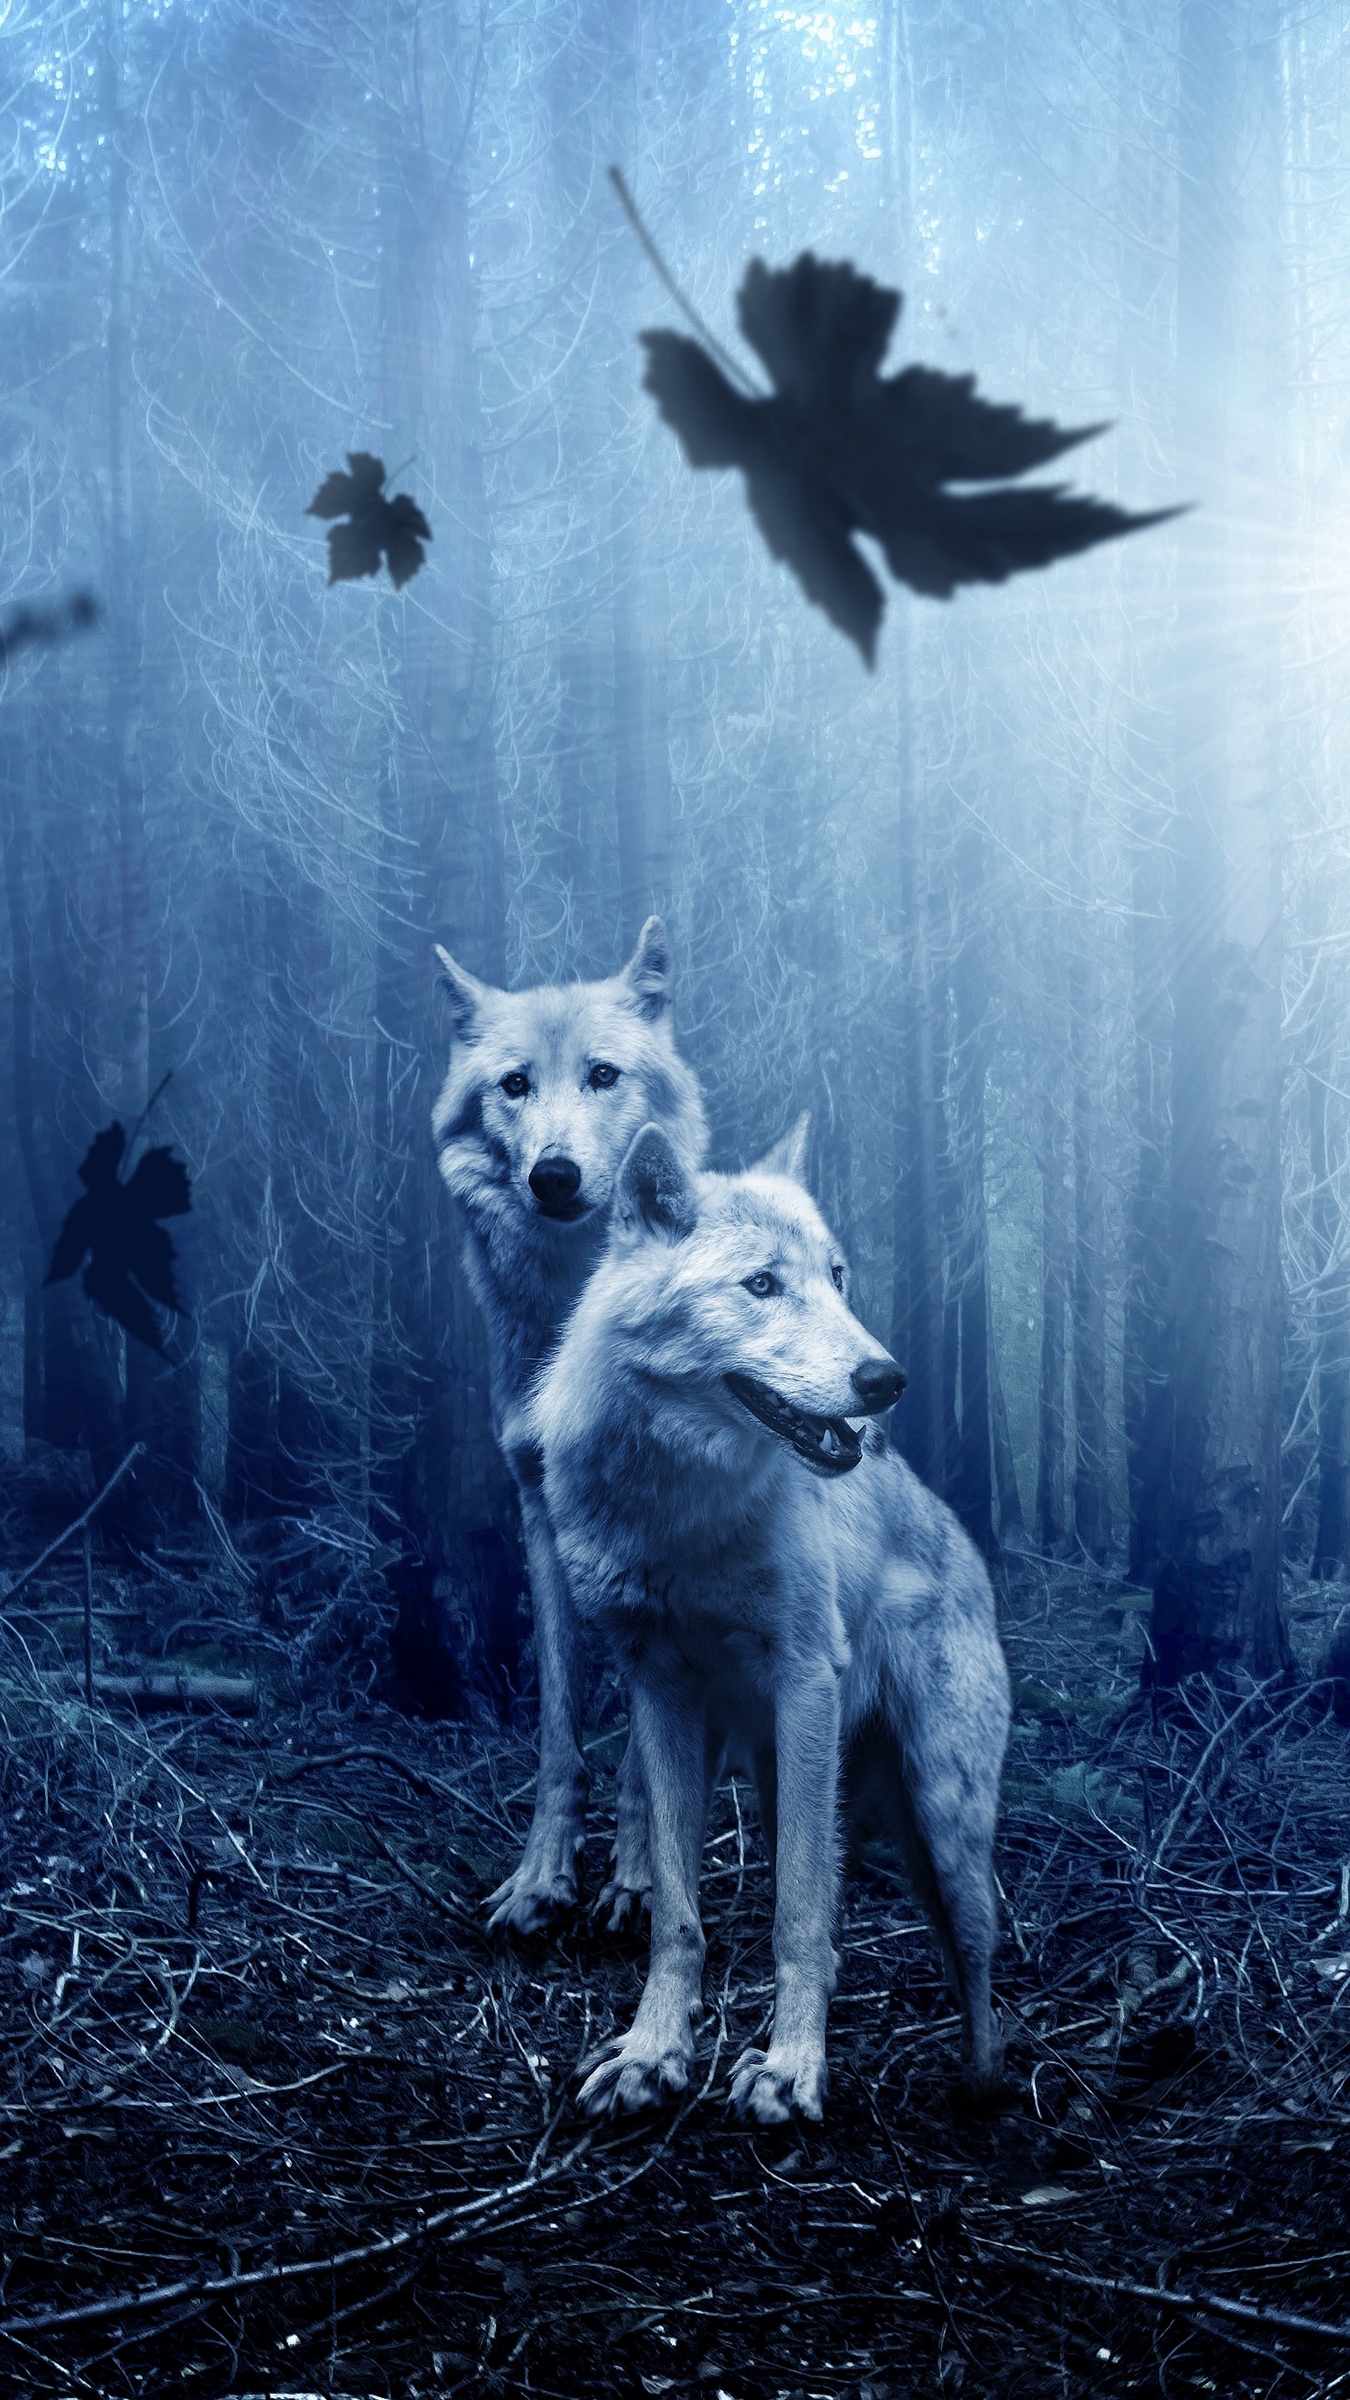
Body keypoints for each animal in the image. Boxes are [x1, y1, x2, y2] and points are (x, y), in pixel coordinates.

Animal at [431, 921, 707, 1933]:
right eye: (515, 1084)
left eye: (602, 1074)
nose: (554, 1175)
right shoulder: (540, 1515)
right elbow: (559, 1731)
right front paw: (541, 1878)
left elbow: (644, 1752)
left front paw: (637, 1881)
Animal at [530, 1119, 1010, 2121]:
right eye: (761, 1285)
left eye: (838, 1277)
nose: (887, 1379)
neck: (679, 1513)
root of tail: (963, 1542)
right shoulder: (660, 1690)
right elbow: (677, 1912)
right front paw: (651, 2054)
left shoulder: (803, 1680)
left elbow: (795, 1916)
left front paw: (791, 2071)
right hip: (780, 1775)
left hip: (941, 1815)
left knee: (976, 1959)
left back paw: (981, 2089)